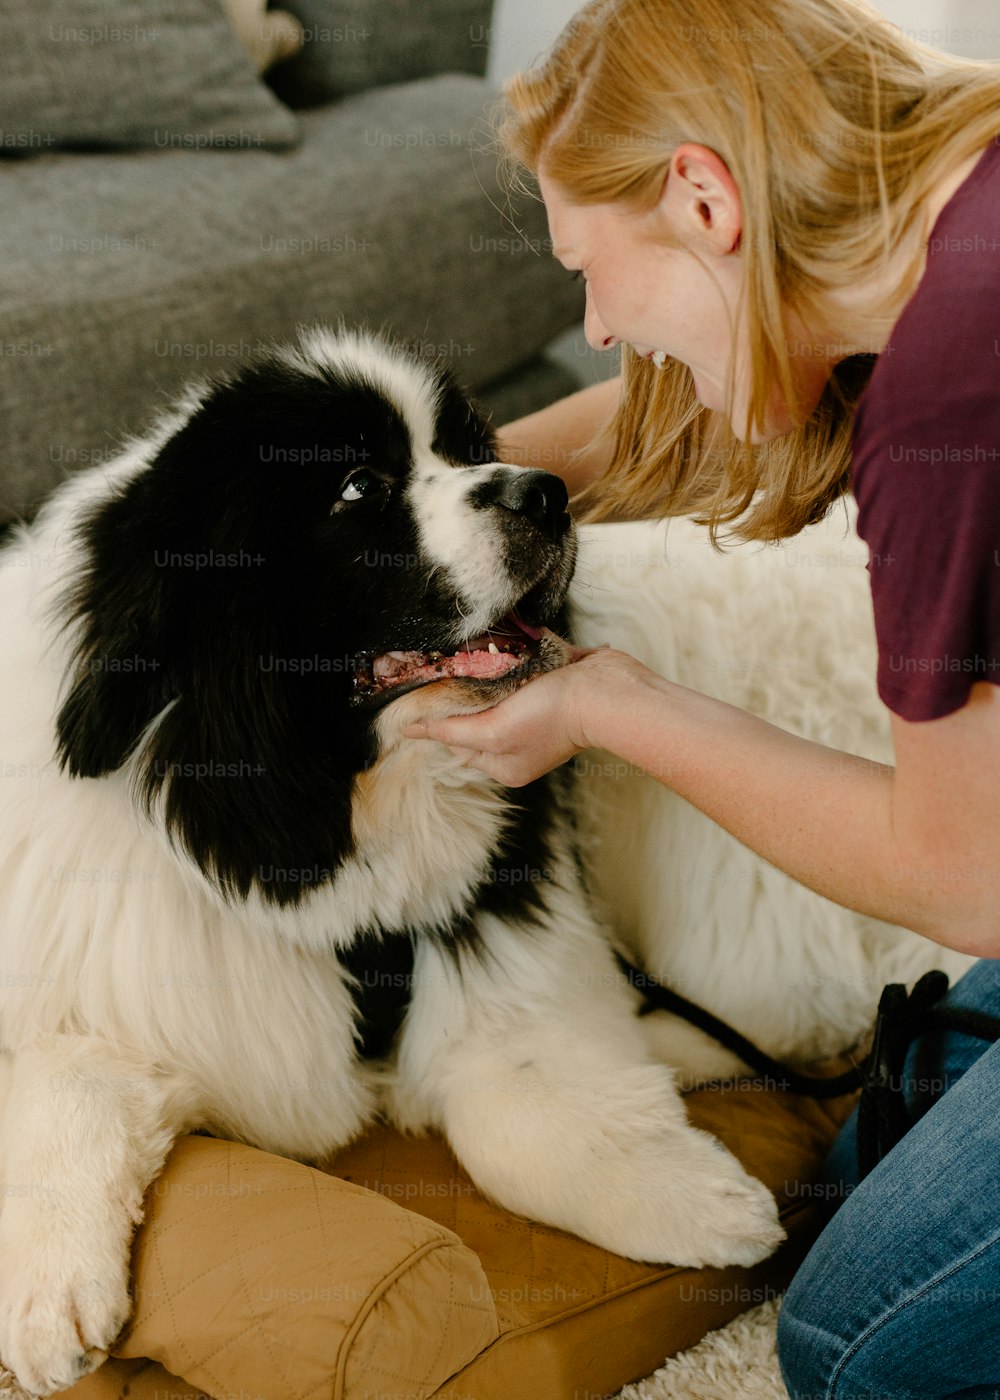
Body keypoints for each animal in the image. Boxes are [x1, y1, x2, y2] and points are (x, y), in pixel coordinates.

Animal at [0, 327, 778, 1388]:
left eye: (468, 449)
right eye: (359, 487)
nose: (545, 492)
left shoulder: (494, 937)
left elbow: (519, 1104)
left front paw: (696, 1198)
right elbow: (68, 1077)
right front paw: (45, 1307)